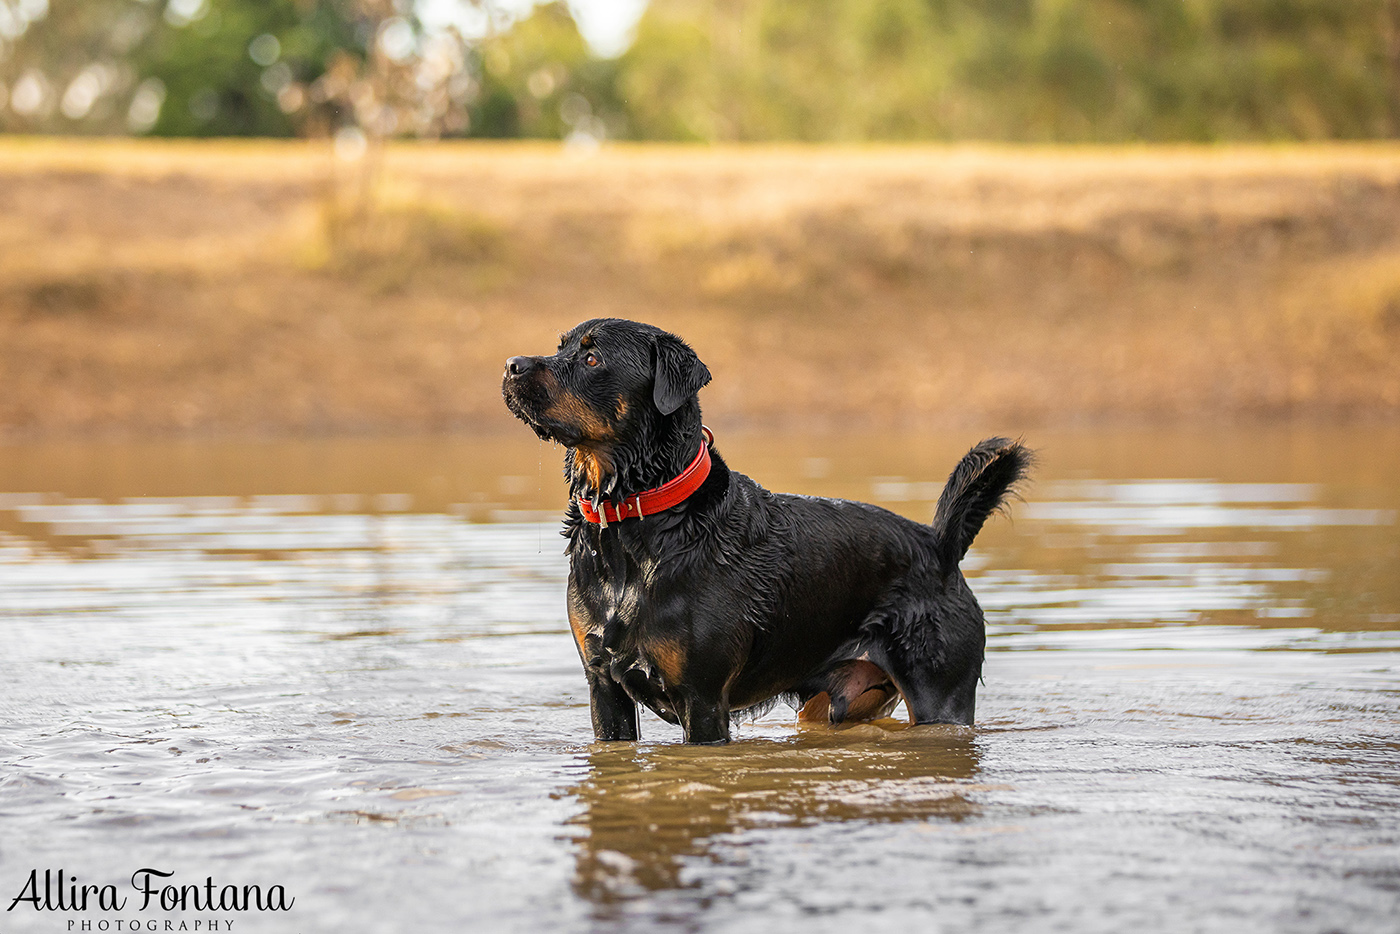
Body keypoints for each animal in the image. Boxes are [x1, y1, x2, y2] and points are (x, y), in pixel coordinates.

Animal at [504, 322, 1030, 744]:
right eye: (560, 347)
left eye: (592, 358)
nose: (511, 364)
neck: (636, 527)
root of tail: (939, 548)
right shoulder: (603, 686)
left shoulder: (702, 698)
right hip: (835, 700)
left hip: (940, 693)